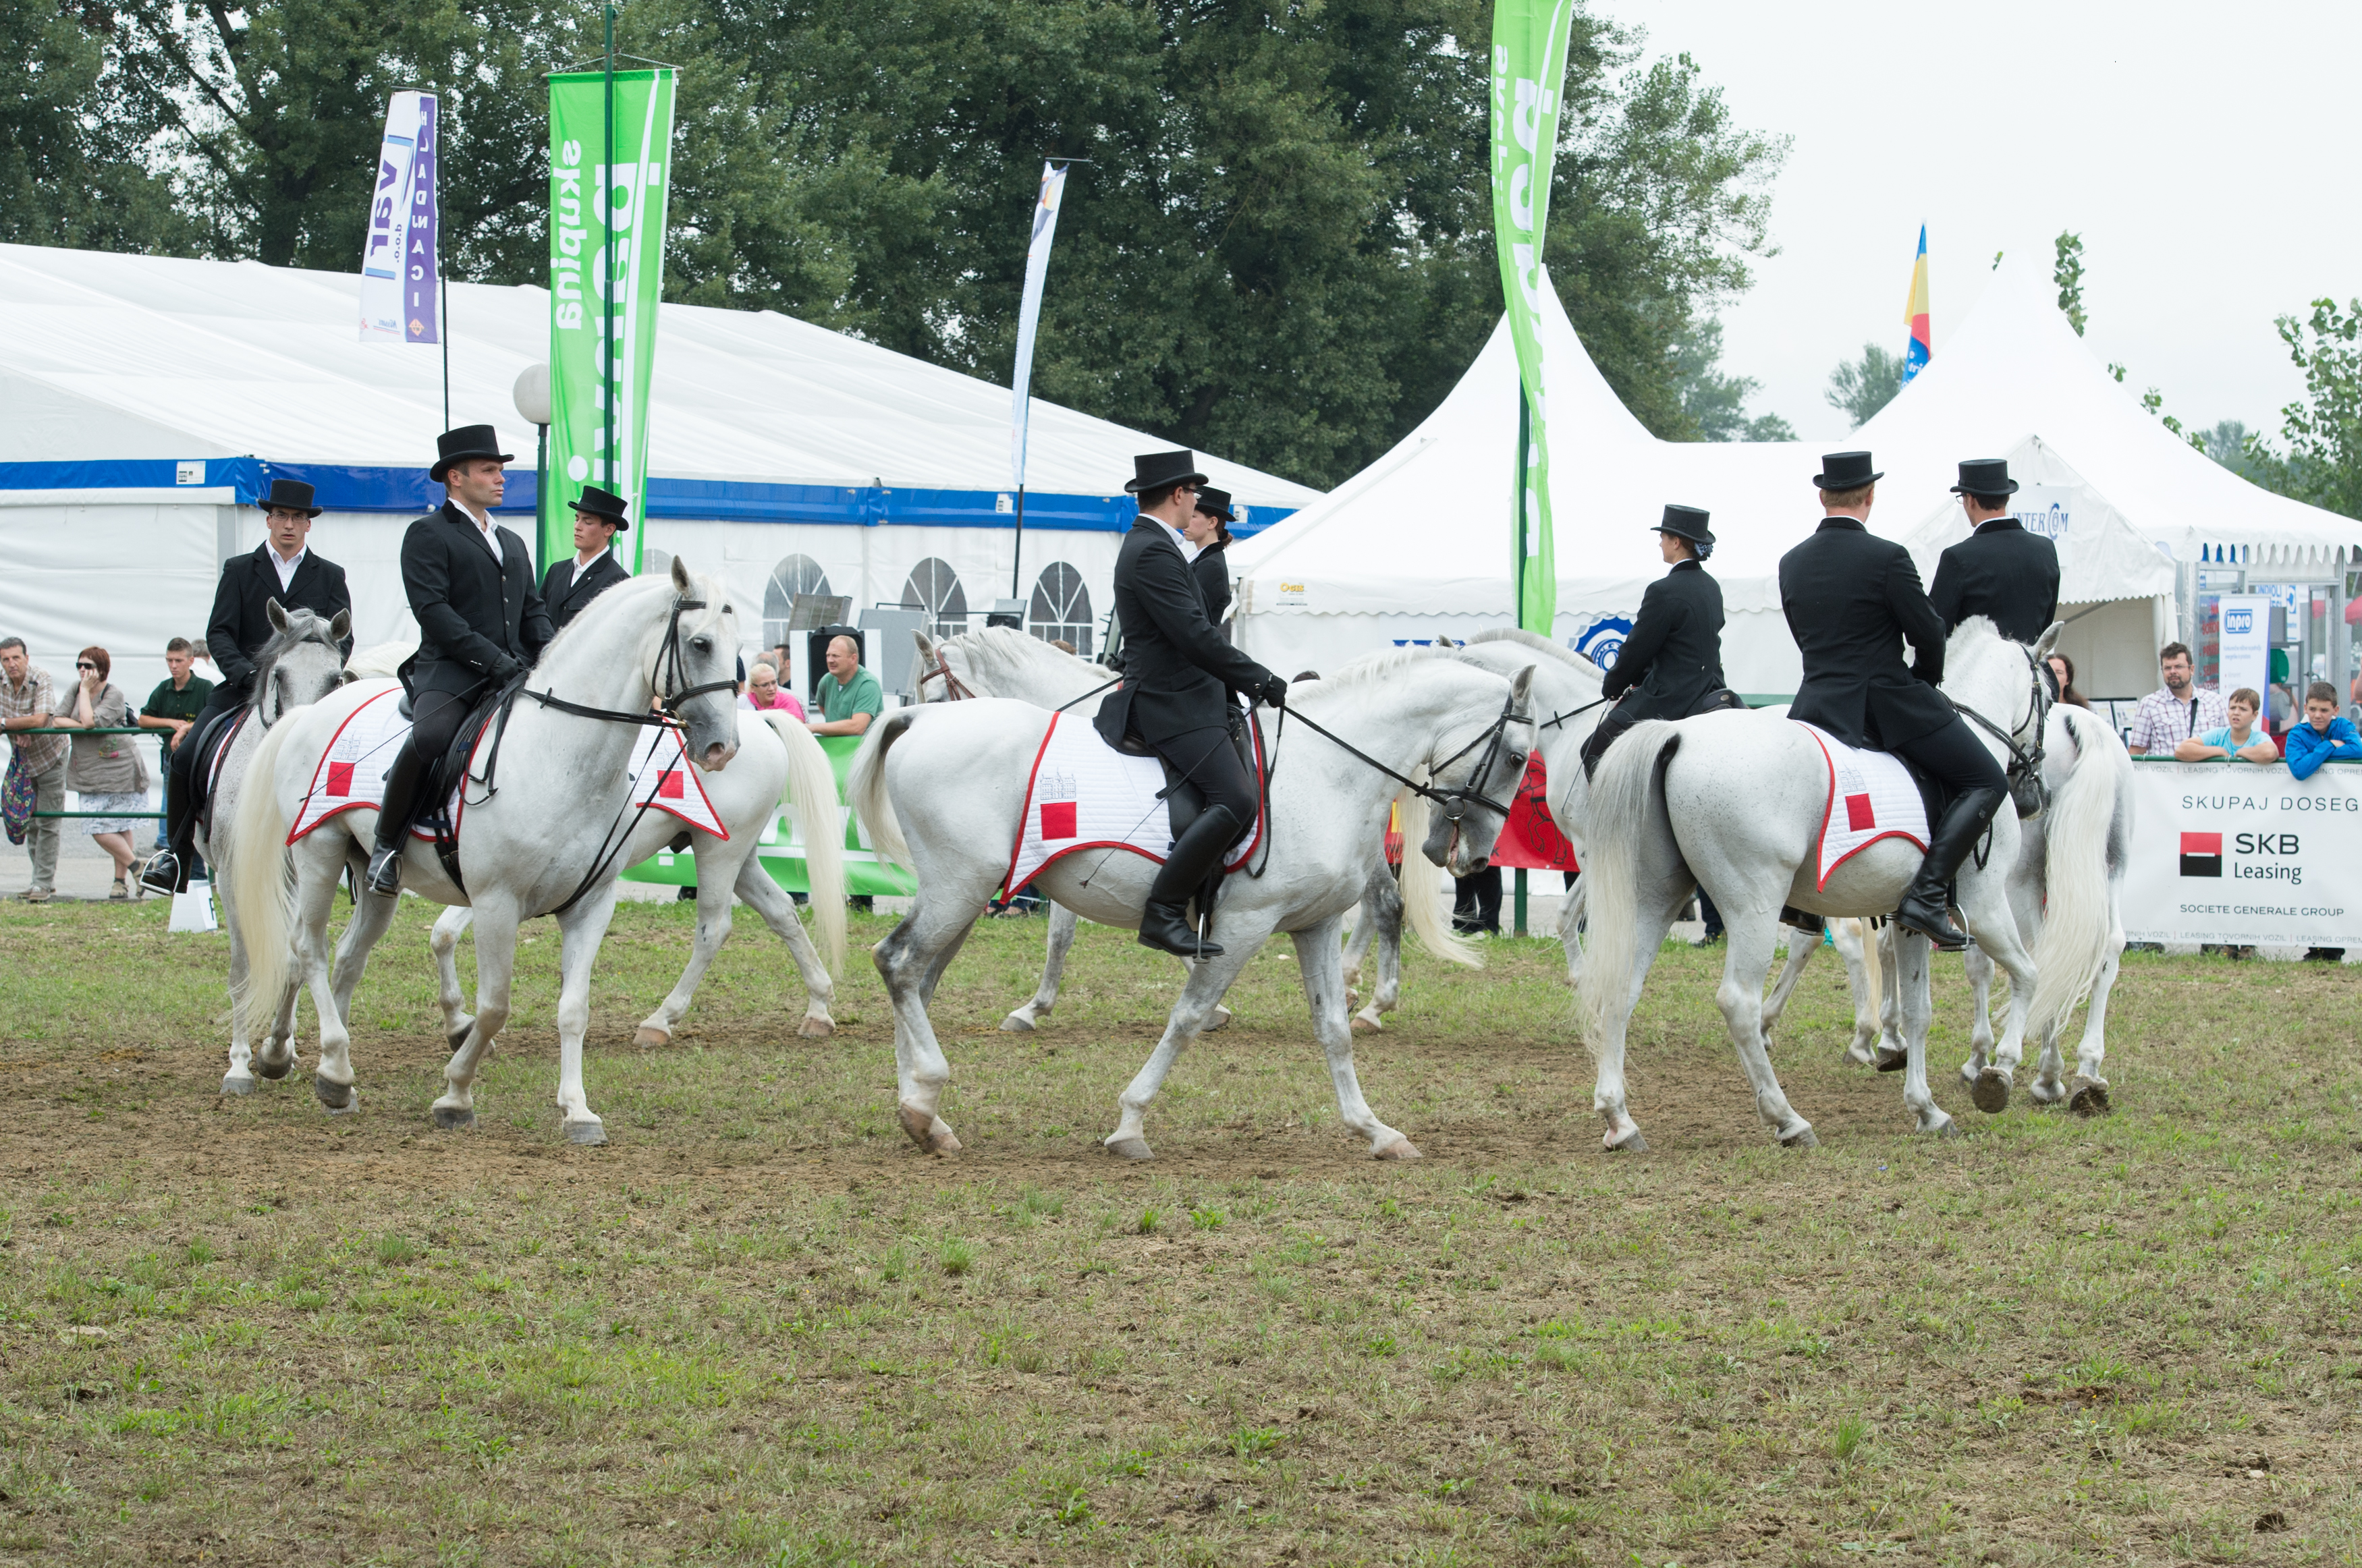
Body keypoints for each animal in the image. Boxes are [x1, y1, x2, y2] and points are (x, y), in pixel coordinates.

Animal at [194, 600, 350, 1091]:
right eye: (279, 674)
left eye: (336, 678)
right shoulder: (230, 875)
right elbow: (243, 967)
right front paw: (239, 1065)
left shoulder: (306, 872)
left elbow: (296, 962)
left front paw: (277, 1053)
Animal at [221, 564, 742, 1138]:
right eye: (700, 643)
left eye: (739, 649)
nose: (723, 748)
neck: (558, 757)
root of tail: (312, 712)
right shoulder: (496, 903)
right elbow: (494, 1008)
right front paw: (456, 1096)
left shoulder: (591, 905)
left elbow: (574, 1008)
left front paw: (578, 1111)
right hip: (319, 852)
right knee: (306, 949)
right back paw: (316, 1063)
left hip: (375, 880)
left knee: (347, 958)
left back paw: (327, 1070)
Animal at [846, 652, 1531, 1162]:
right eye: (1519, 757)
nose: (1474, 857)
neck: (1327, 772)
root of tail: (918, 722)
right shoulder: (1244, 924)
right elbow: (1188, 1016)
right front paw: (1130, 1124)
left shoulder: (1313, 923)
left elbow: (1332, 1030)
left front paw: (1375, 1130)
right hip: (959, 888)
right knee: (899, 963)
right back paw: (927, 1096)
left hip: (961, 895)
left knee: (917, 977)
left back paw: (922, 1114)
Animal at [1578, 619, 2116, 1148]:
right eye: (2049, 697)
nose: (2035, 796)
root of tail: (1678, 735)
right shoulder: (1985, 906)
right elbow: (2030, 974)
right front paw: (1999, 1071)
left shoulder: (1914, 916)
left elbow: (1920, 1011)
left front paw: (1927, 1109)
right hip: (1753, 905)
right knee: (1739, 1003)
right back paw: (1787, 1119)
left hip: (1656, 895)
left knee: (1622, 985)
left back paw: (1619, 1119)